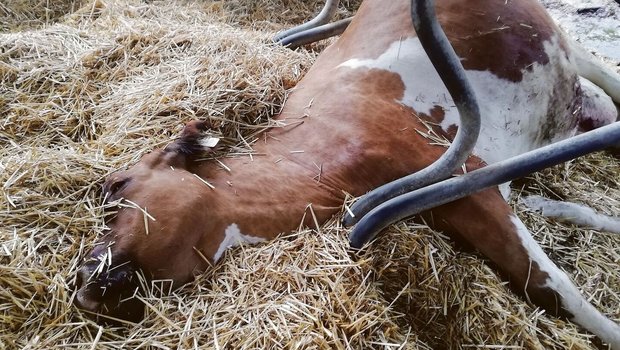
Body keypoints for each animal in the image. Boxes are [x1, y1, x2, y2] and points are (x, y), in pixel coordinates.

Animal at [76, 0, 620, 346]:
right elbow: (554, 236)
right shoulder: (471, 193)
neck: (317, 158)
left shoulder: (465, 177)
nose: (81, 282)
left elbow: (554, 287)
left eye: (116, 186)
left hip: (567, 46)